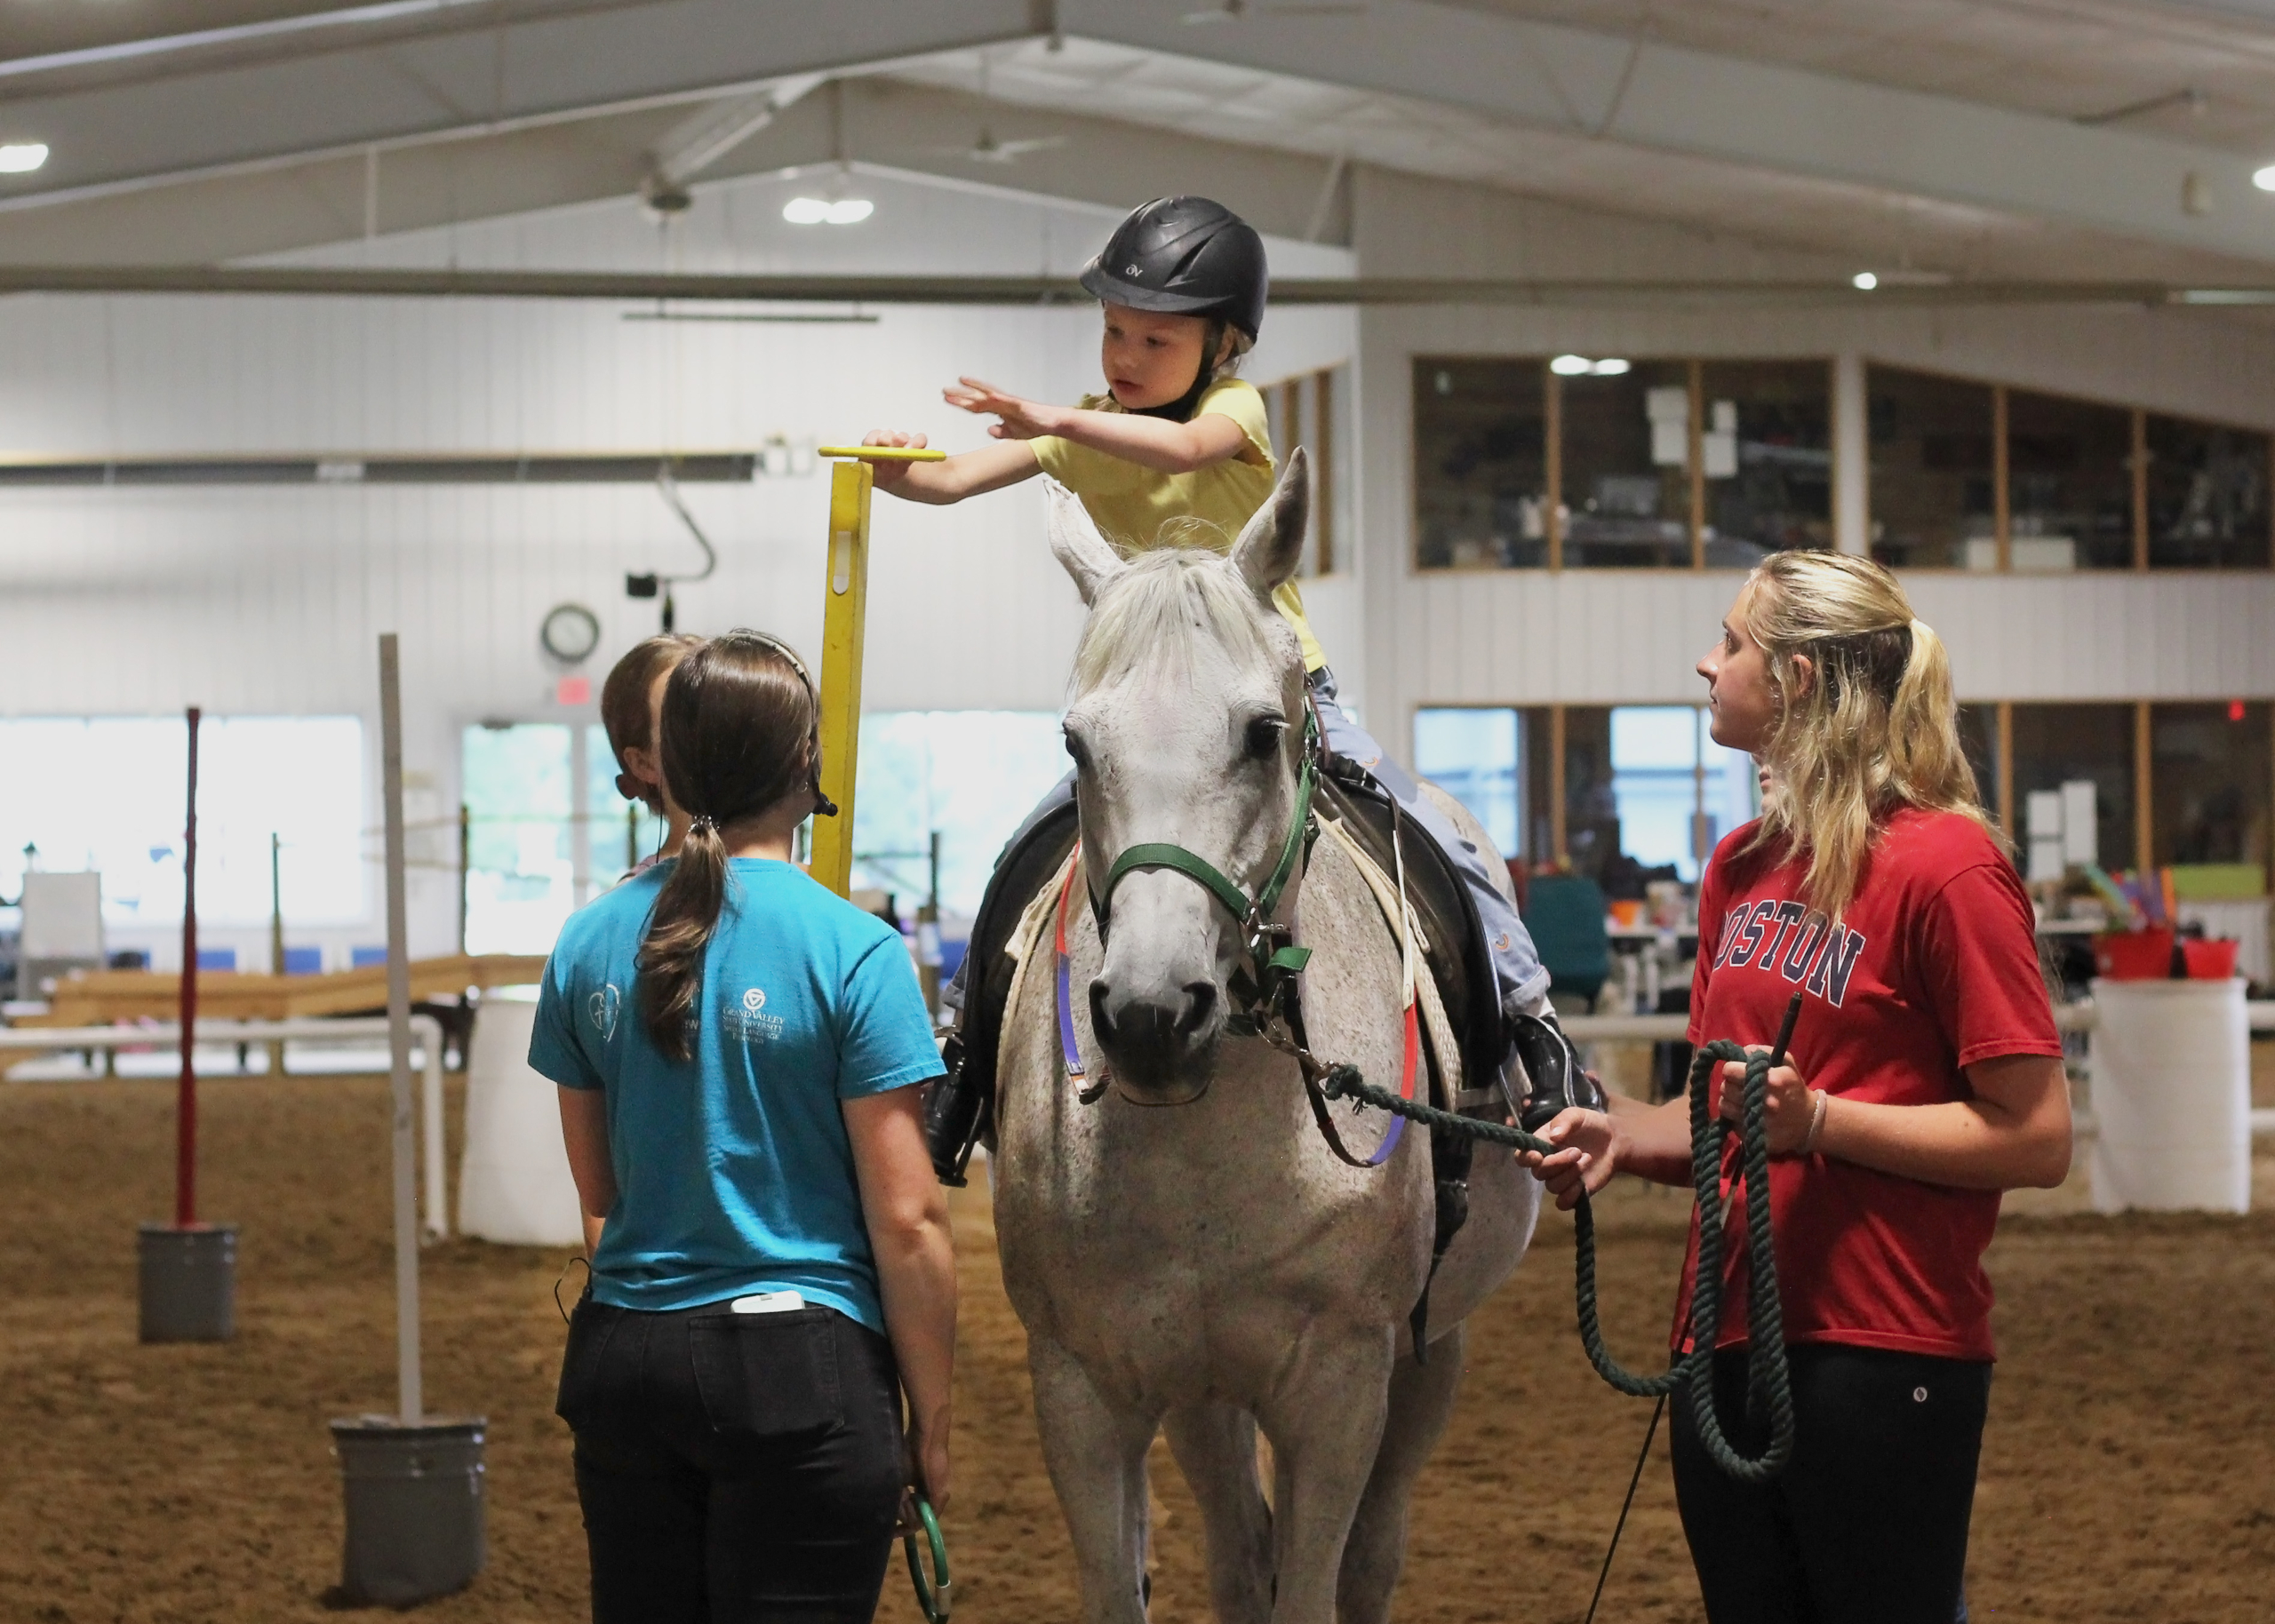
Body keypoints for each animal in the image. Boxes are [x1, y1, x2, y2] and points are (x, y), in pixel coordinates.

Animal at [987, 452, 1537, 1619]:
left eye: (1259, 732)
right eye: (1075, 742)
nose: (1150, 1013)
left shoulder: (1340, 1386)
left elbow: (1318, 1579)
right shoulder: (1082, 1386)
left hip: (1432, 1353)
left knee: (1370, 1553)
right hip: (1204, 1387)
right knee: (1239, 1545)